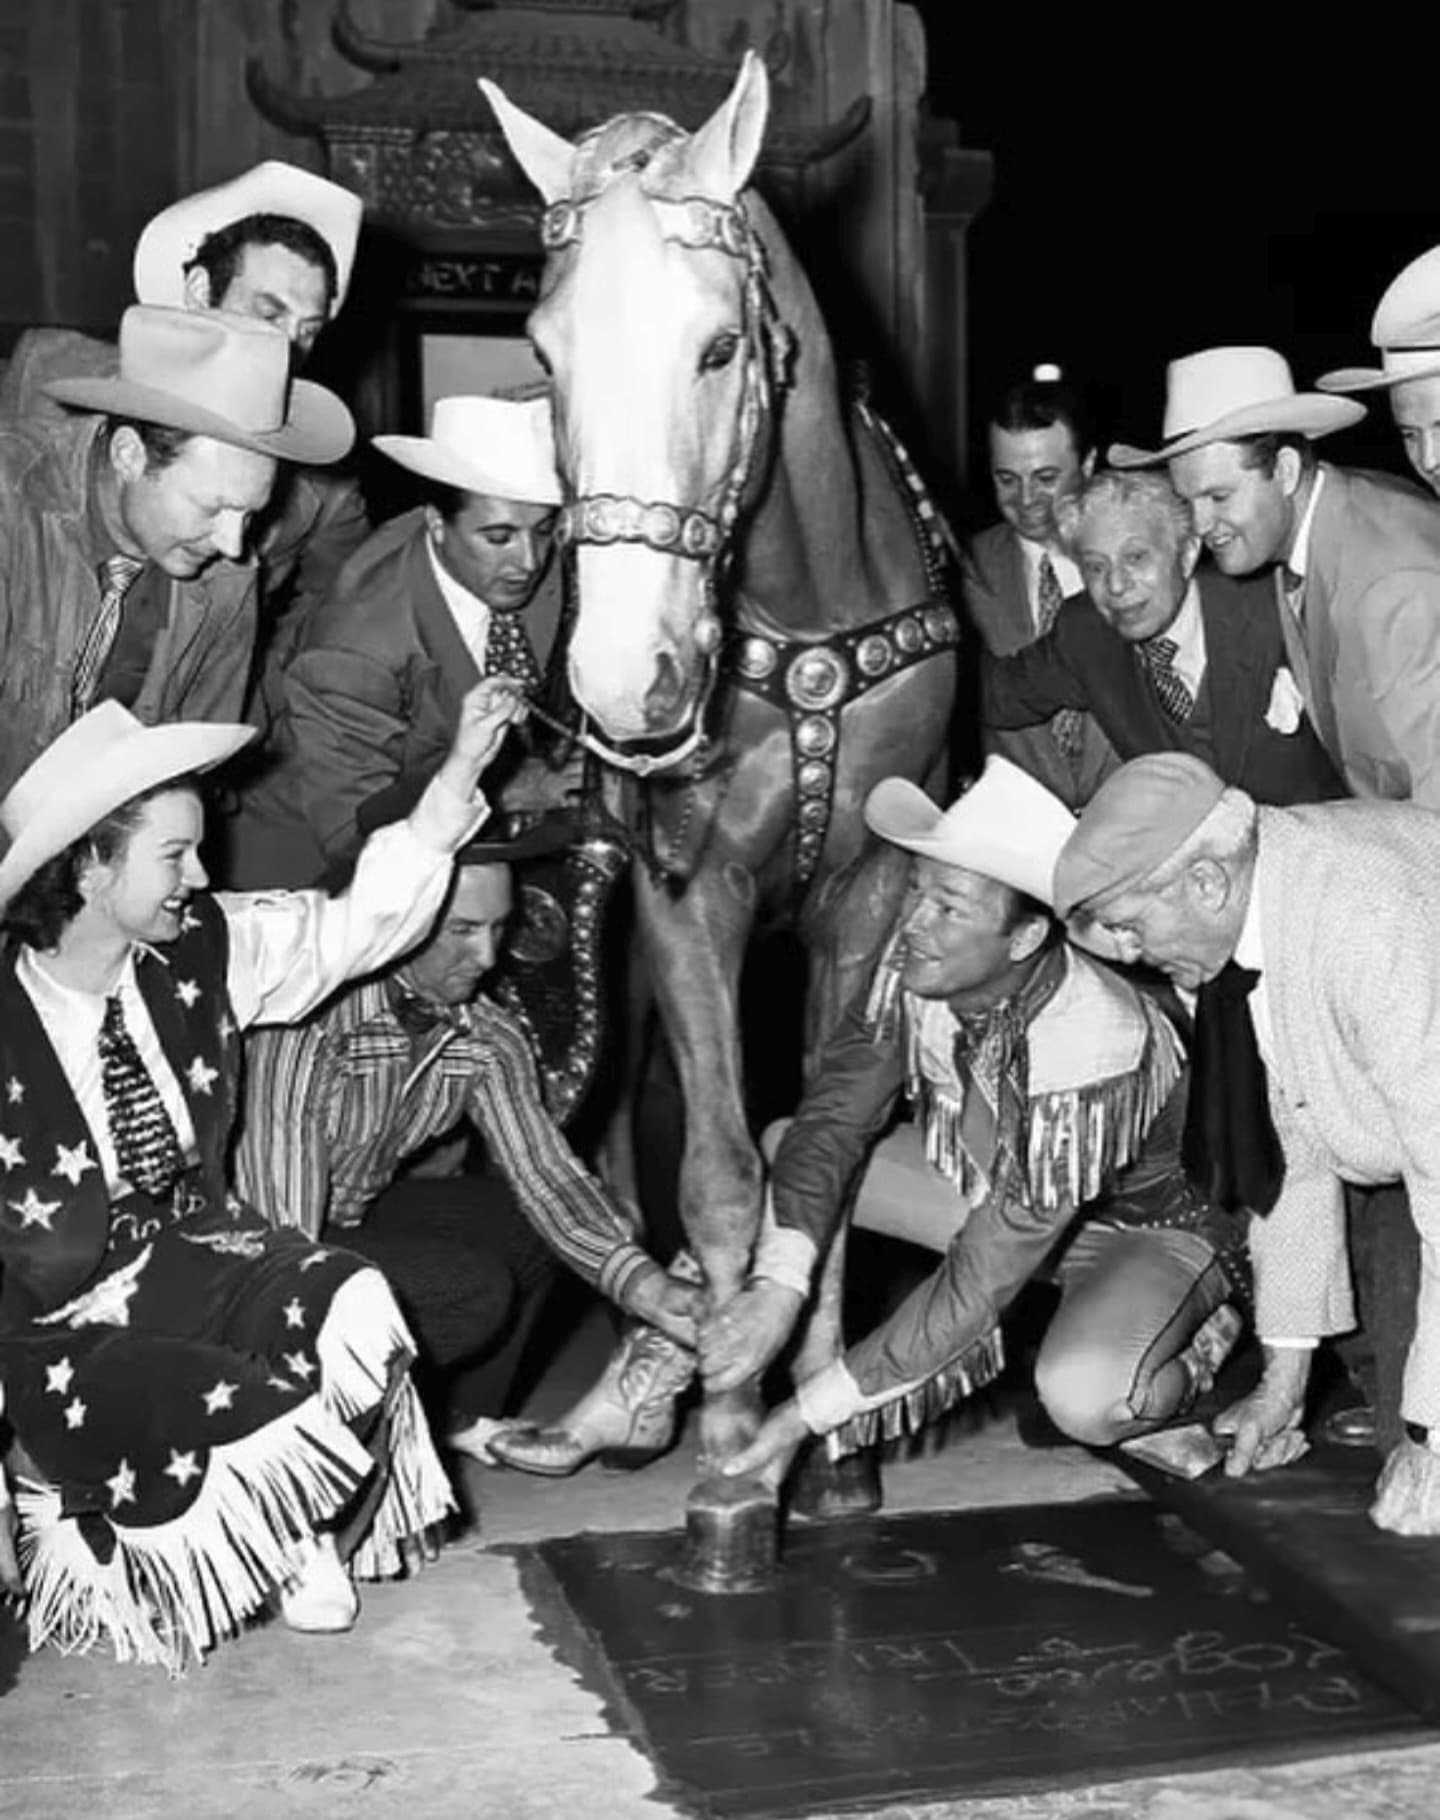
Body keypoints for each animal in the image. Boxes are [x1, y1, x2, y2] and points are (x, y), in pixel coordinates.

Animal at [481, 53, 959, 1481]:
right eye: (544, 352)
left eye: (719, 346)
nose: (627, 680)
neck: (799, 614)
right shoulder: (686, 894)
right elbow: (721, 1172)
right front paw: (730, 1435)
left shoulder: (873, 895)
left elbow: (825, 1151)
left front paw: (825, 1437)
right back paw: (633, 1386)